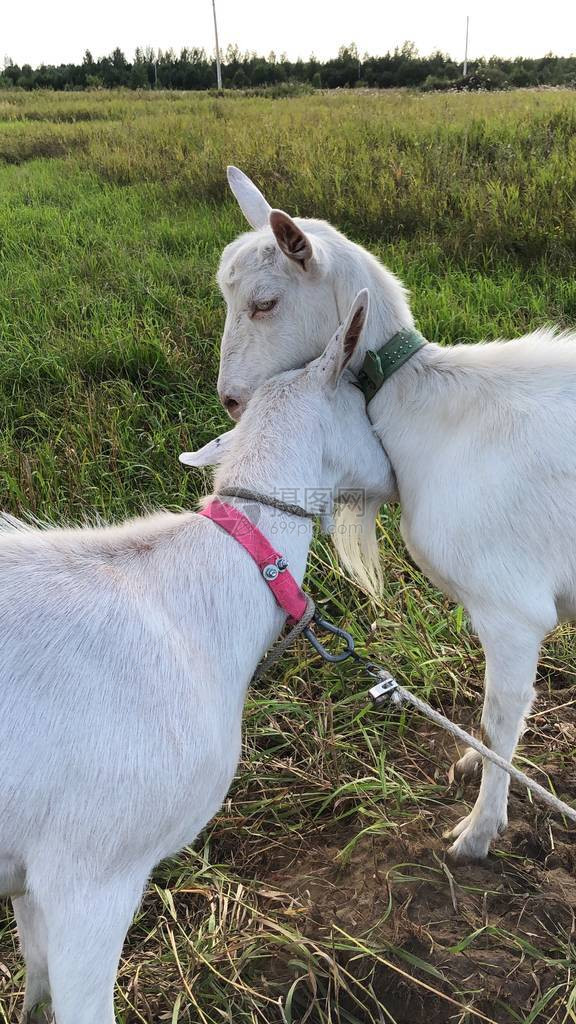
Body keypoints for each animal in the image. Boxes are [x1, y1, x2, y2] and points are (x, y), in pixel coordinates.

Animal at [217, 163, 573, 860]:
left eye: (265, 303)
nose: (230, 400)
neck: (431, 403)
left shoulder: (514, 609)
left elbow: (503, 712)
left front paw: (477, 833)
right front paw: (473, 762)